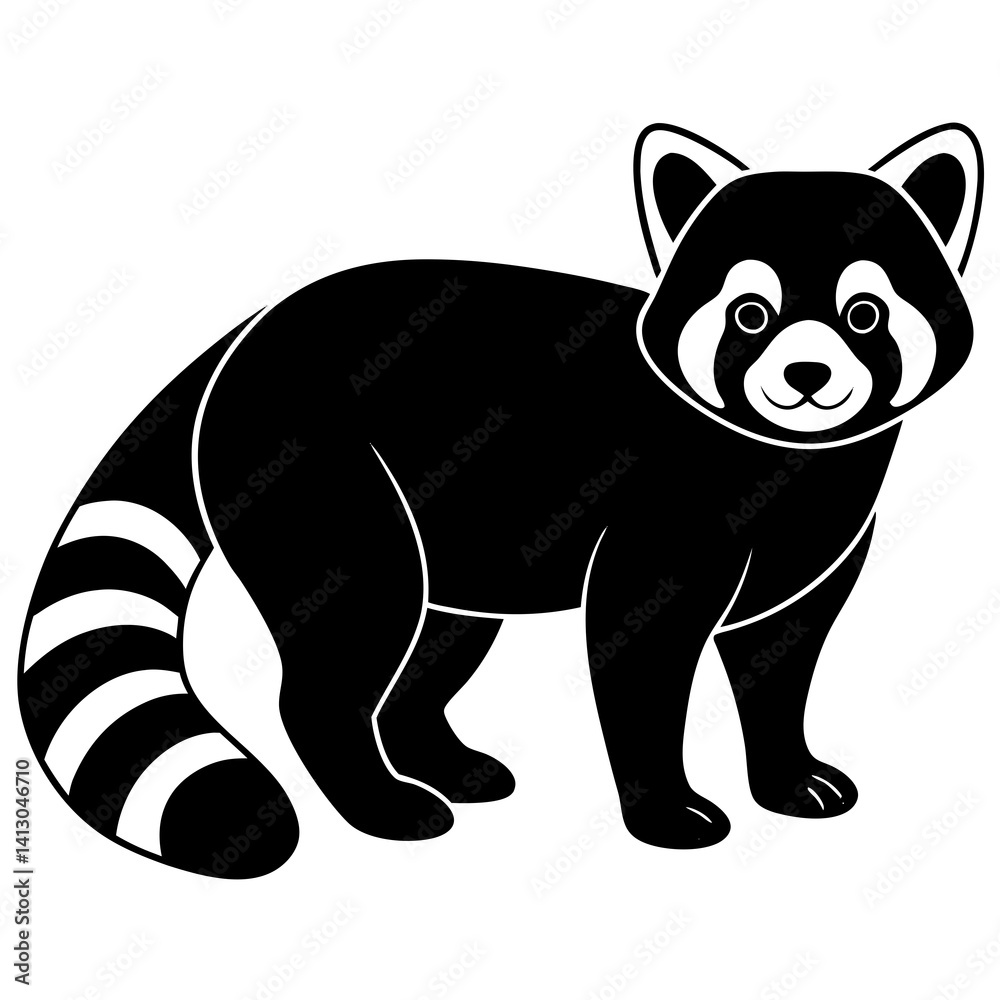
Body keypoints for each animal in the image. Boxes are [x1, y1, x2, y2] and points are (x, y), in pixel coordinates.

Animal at [18, 123, 983, 875]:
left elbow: (780, 659)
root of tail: (253, 326)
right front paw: (664, 809)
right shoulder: (664, 513)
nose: (808, 376)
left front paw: (786, 773)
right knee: (352, 638)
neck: (798, 460)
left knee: (434, 640)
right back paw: (381, 801)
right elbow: (639, 659)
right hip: (321, 472)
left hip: (454, 526)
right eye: (750, 315)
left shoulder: (816, 546)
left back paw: (436, 757)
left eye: (865, 314)